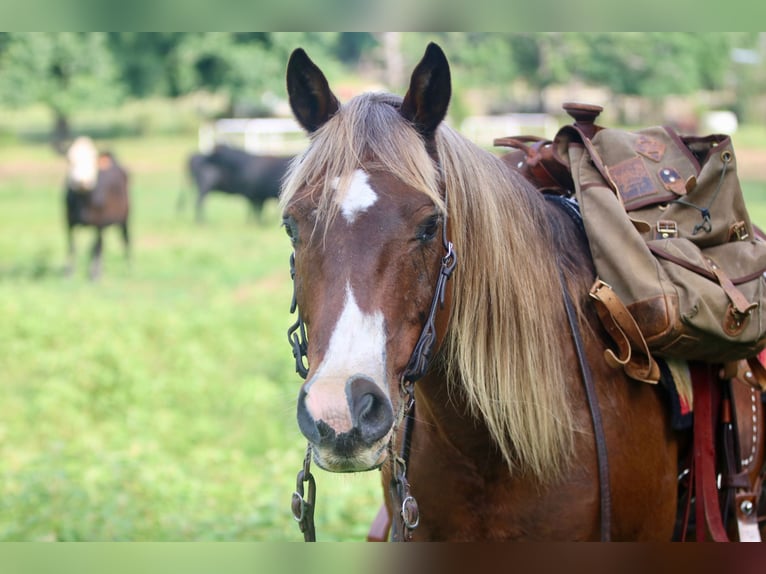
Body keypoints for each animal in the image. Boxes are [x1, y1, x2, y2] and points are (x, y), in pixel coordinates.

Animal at [64, 136, 130, 280]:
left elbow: (94, 247)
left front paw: (94, 275)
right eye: (70, 160)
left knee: (125, 239)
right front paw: (69, 274)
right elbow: (72, 246)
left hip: (125, 217)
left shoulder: (99, 223)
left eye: (93, 159)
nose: (82, 182)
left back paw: (128, 268)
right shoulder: (68, 222)